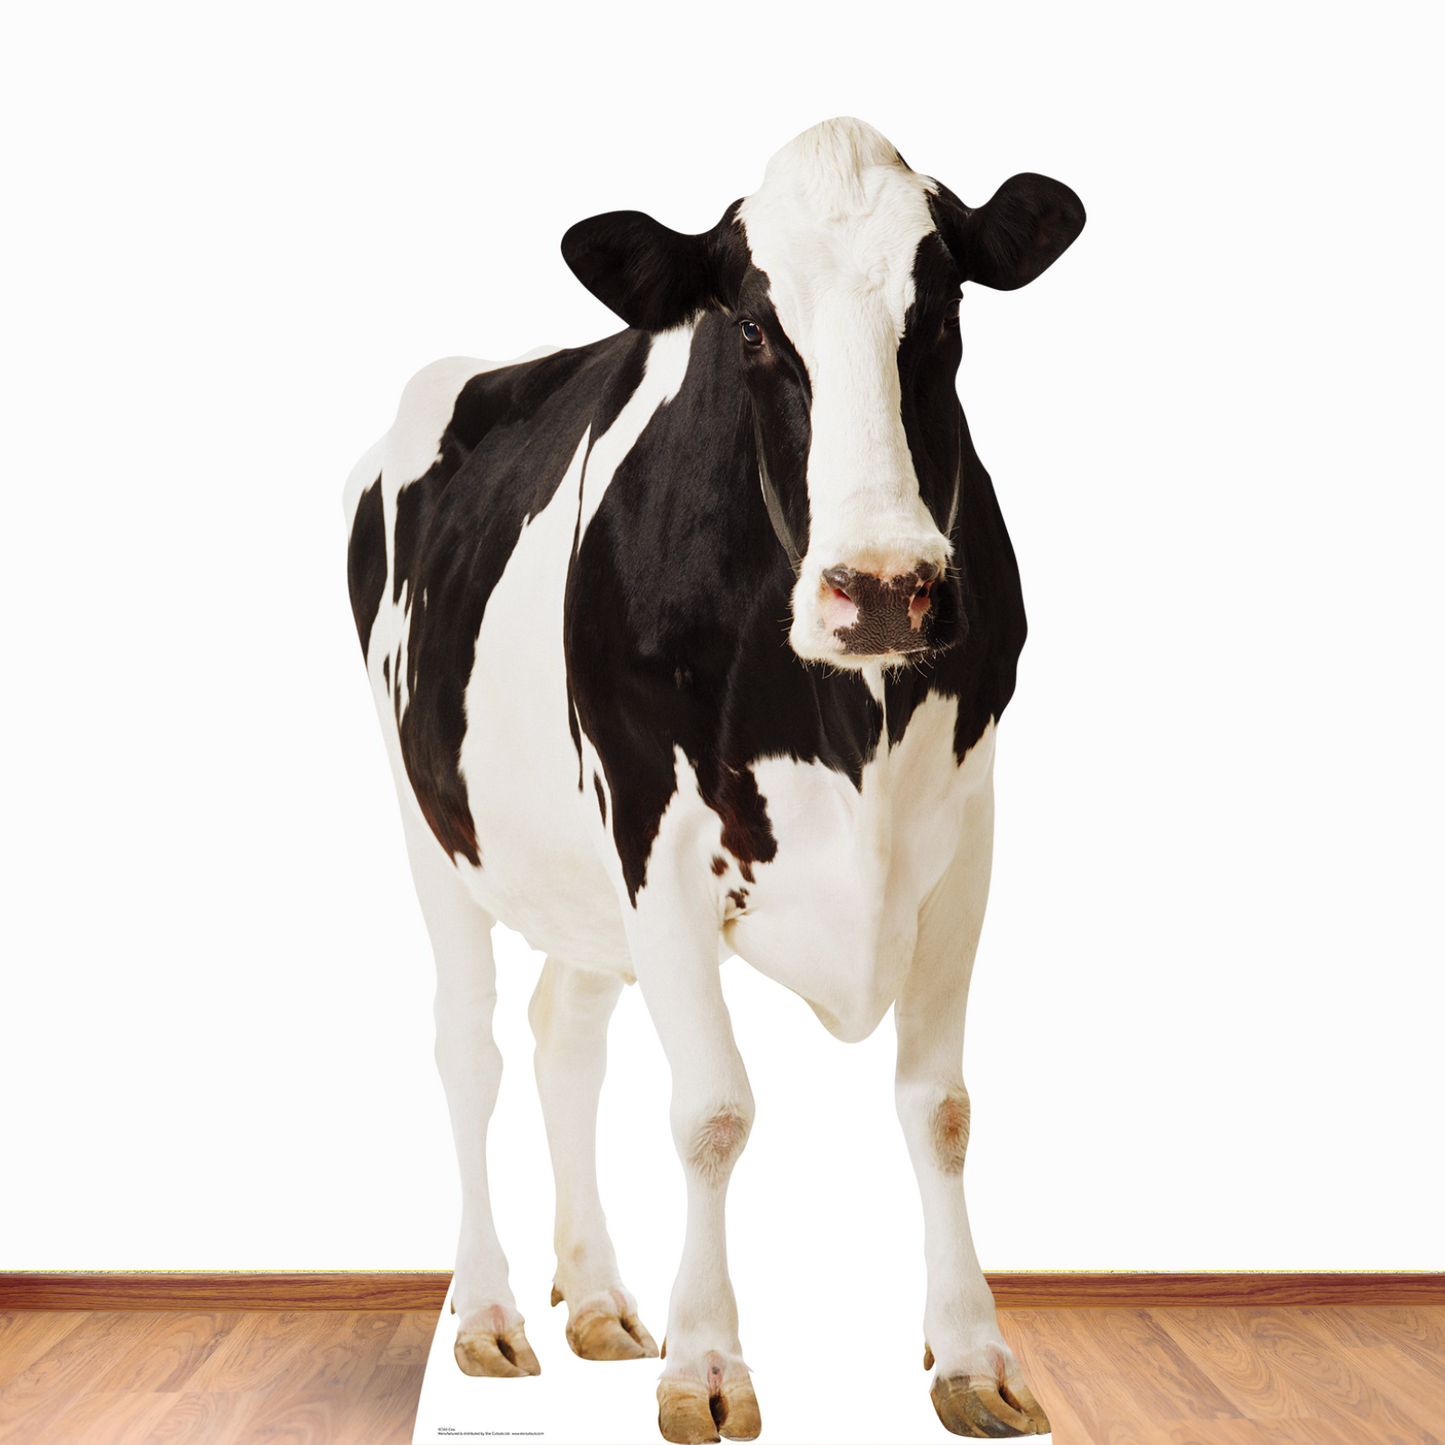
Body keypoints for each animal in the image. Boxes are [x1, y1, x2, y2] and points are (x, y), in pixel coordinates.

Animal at [344, 117, 1083, 1442]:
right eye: (747, 325)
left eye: (942, 305)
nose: (883, 586)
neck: (848, 718)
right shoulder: (658, 837)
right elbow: (712, 1110)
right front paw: (705, 1364)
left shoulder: (965, 835)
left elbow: (939, 1104)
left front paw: (970, 1353)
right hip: (433, 823)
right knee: (468, 1049)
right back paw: (487, 1313)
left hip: (582, 882)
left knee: (563, 1036)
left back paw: (594, 1295)